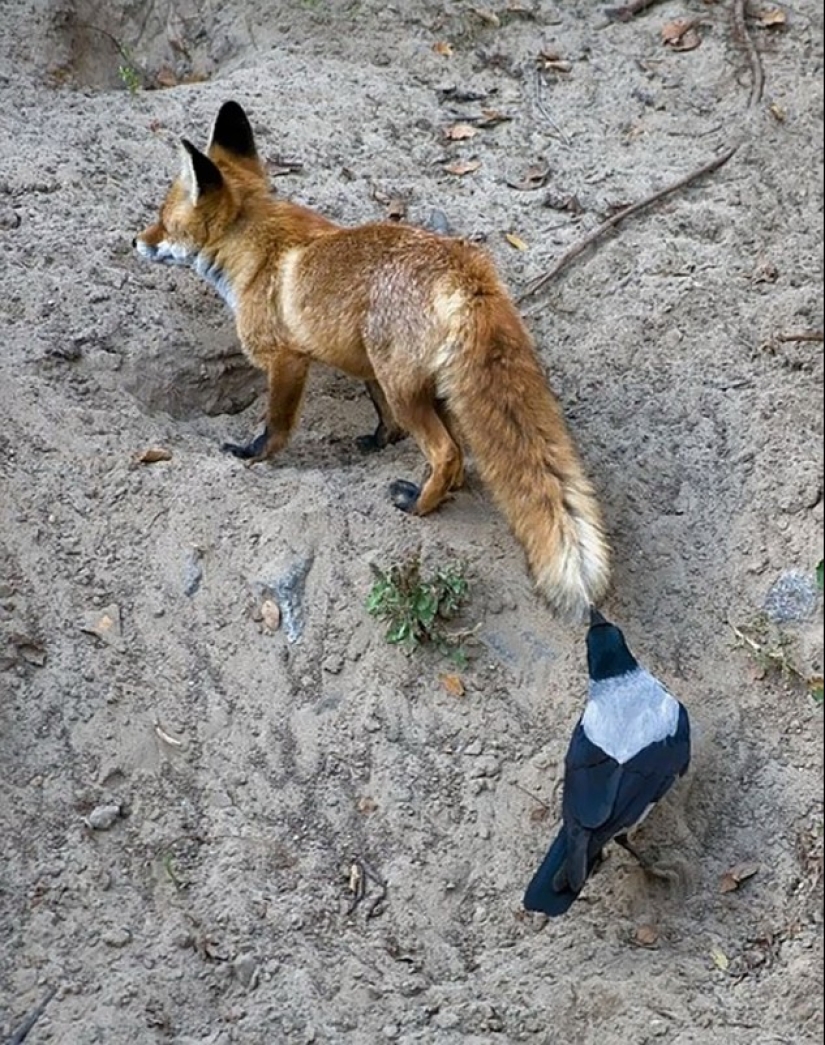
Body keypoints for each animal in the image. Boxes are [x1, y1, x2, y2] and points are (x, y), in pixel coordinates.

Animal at [134, 100, 606, 618]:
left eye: (162, 220)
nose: (136, 241)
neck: (258, 253)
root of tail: (466, 271)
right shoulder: (363, 364)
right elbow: (381, 415)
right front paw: (380, 441)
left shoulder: (287, 359)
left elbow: (276, 425)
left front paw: (253, 455)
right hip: (417, 381)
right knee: (457, 452)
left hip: (405, 386)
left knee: (448, 452)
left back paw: (419, 505)